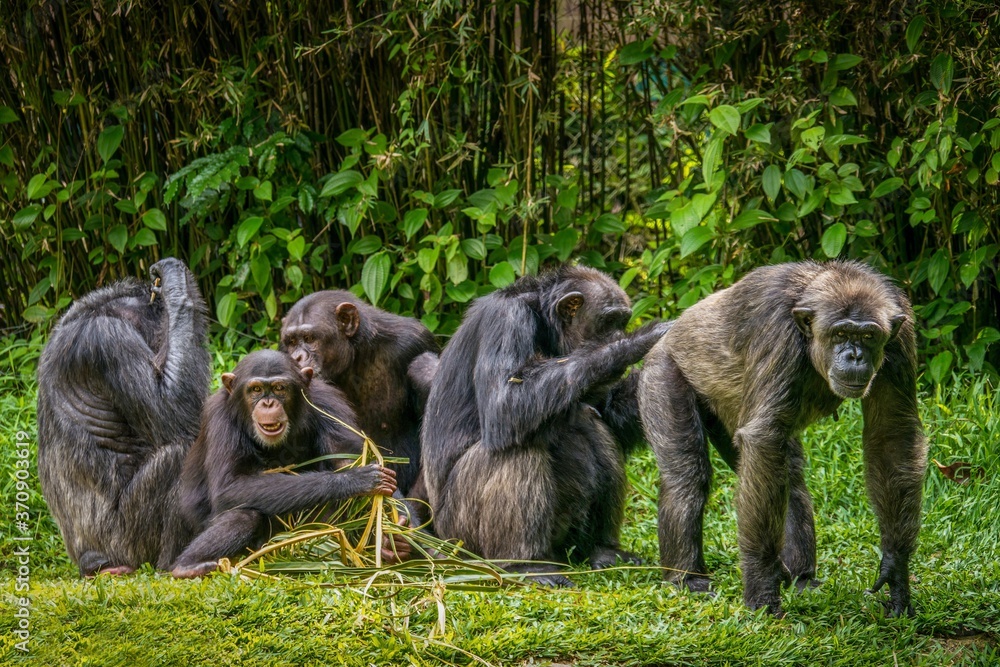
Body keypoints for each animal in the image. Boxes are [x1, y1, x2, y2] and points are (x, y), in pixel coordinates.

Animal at [37, 258, 211, 576]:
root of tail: (90, 560)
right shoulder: (109, 340)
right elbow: (171, 410)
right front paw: (176, 287)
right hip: (129, 542)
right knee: (181, 453)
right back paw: (180, 564)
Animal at [169, 350, 398, 580]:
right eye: (256, 389)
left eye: (279, 388)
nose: (268, 403)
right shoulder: (220, 418)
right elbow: (230, 486)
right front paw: (353, 481)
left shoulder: (328, 403)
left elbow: (346, 457)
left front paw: (395, 535)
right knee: (244, 515)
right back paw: (188, 566)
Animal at [418, 266, 668, 584]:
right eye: (610, 321)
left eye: (622, 320)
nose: (621, 332)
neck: (543, 323)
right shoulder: (507, 320)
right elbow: (505, 402)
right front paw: (636, 342)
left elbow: (611, 412)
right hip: (462, 537)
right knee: (517, 450)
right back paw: (526, 565)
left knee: (593, 424)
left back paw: (603, 550)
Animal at [640, 260, 928, 616]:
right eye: (841, 333)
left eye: (868, 335)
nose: (855, 355)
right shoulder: (777, 331)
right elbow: (764, 437)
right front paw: (762, 589)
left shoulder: (900, 339)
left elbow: (891, 435)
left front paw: (896, 570)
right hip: (661, 374)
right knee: (687, 476)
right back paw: (686, 578)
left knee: (786, 475)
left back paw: (801, 577)